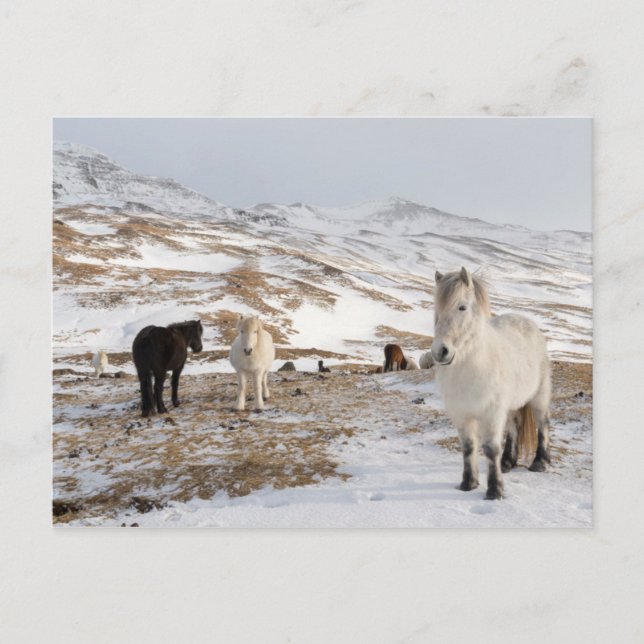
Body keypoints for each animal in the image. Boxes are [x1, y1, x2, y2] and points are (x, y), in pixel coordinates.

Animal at [431, 267, 551, 500]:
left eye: (462, 307)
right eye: (436, 310)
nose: (440, 351)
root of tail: (527, 322)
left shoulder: (492, 413)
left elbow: (490, 449)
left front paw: (495, 491)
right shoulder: (462, 414)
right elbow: (469, 447)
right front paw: (468, 483)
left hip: (539, 397)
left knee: (543, 424)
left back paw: (540, 462)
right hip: (511, 405)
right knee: (514, 426)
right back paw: (507, 462)